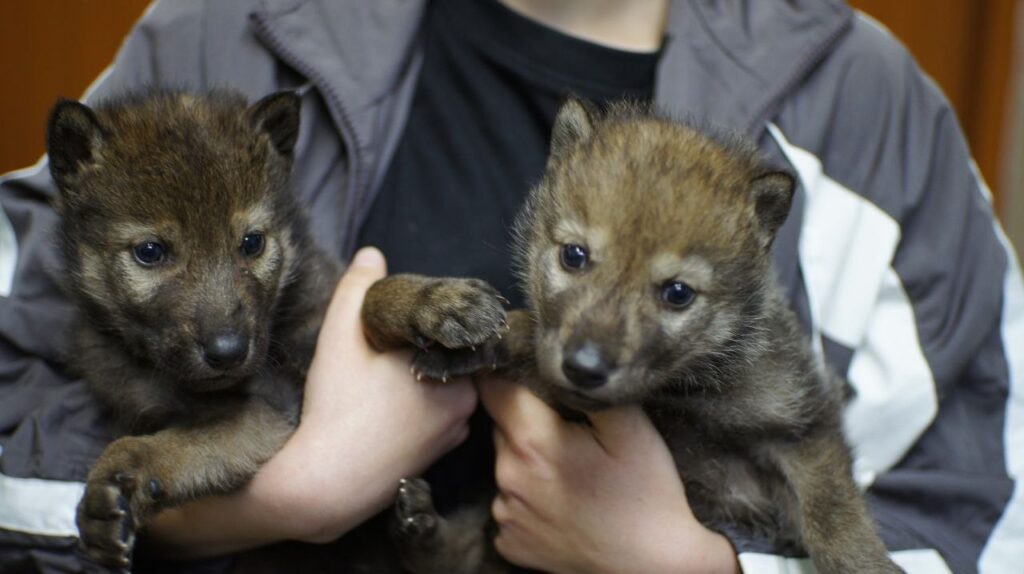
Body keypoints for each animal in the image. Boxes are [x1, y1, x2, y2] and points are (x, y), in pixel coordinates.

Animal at [46, 89, 507, 569]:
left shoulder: (320, 314)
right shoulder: (257, 420)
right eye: (150, 252)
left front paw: (435, 302)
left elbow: (367, 298)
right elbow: (166, 446)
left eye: (252, 242)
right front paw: (112, 489)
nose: (228, 351)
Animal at [394, 100, 903, 573]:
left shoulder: (805, 423)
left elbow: (832, 508)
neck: (681, 394)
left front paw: (863, 563)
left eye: (677, 293)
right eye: (574, 256)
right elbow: (527, 335)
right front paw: (463, 334)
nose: (585, 369)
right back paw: (419, 525)